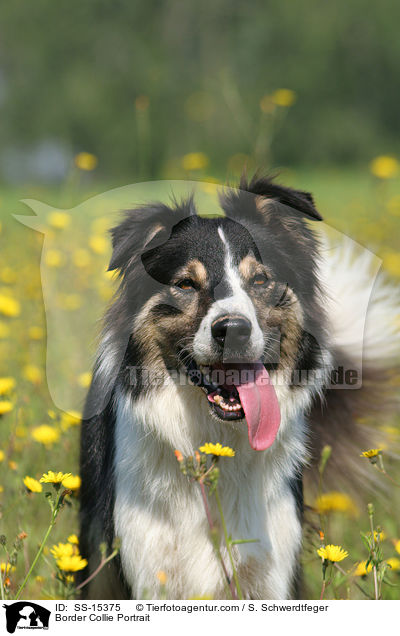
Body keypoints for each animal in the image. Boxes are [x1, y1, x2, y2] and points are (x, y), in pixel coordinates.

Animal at [79, 175, 400, 600]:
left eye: (260, 280)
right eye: (186, 284)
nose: (233, 329)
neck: (217, 438)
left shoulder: (270, 568)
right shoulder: (147, 568)